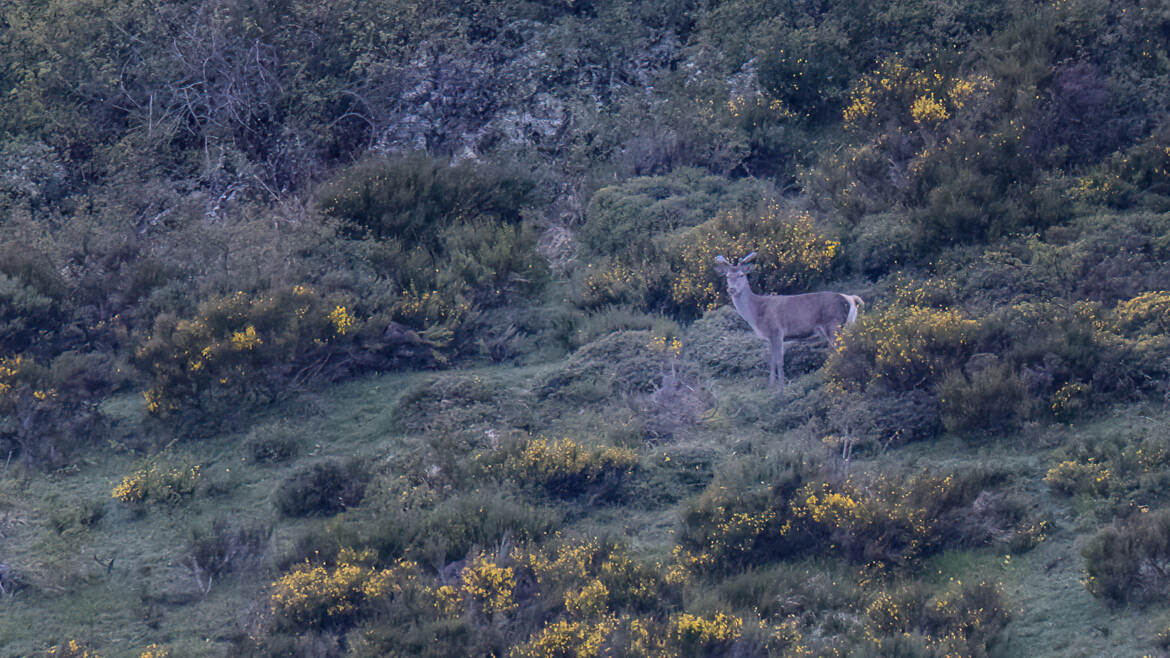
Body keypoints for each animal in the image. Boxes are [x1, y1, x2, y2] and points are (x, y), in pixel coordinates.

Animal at [706, 249, 865, 384]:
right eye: (727, 276)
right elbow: (771, 362)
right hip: (849, 324)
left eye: (741, 275)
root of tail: (851, 299)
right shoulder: (769, 337)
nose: (731, 289)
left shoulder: (777, 331)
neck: (756, 314)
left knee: (840, 350)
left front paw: (781, 388)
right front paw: (771, 386)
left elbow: (779, 361)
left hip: (834, 324)